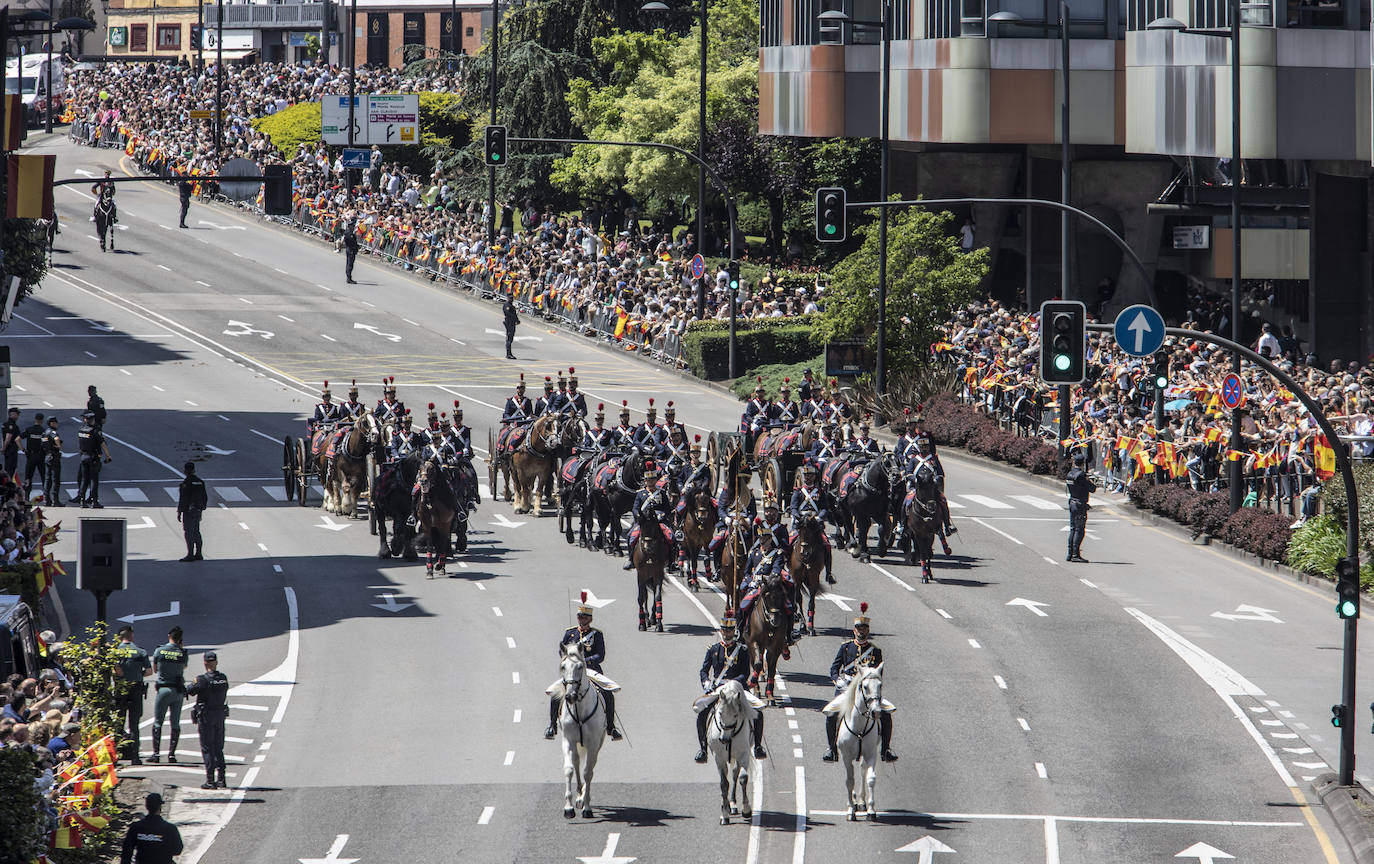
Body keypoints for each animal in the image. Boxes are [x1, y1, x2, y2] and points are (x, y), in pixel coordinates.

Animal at [552, 640, 607, 813]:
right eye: (563, 666)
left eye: (580, 667)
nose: (570, 696)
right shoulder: (568, 740)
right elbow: (569, 768)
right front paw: (568, 807)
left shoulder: (593, 743)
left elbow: (588, 772)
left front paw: (586, 805)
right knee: (576, 762)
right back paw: (577, 795)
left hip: (599, 743)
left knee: (591, 766)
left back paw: (581, 798)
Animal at [708, 681, 763, 824]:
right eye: (720, 713)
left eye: (736, 715)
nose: (724, 739)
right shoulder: (719, 758)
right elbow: (723, 784)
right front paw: (724, 815)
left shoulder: (743, 754)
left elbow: (742, 778)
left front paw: (746, 809)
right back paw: (726, 806)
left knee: (734, 774)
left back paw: (732, 804)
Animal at [818, 659, 884, 824]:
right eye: (865, 687)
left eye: (880, 685)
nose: (876, 712)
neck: (859, 725)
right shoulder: (846, 755)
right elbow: (849, 781)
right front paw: (850, 811)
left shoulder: (871, 753)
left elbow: (870, 778)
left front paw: (871, 810)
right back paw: (854, 800)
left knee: (862, 770)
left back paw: (861, 801)